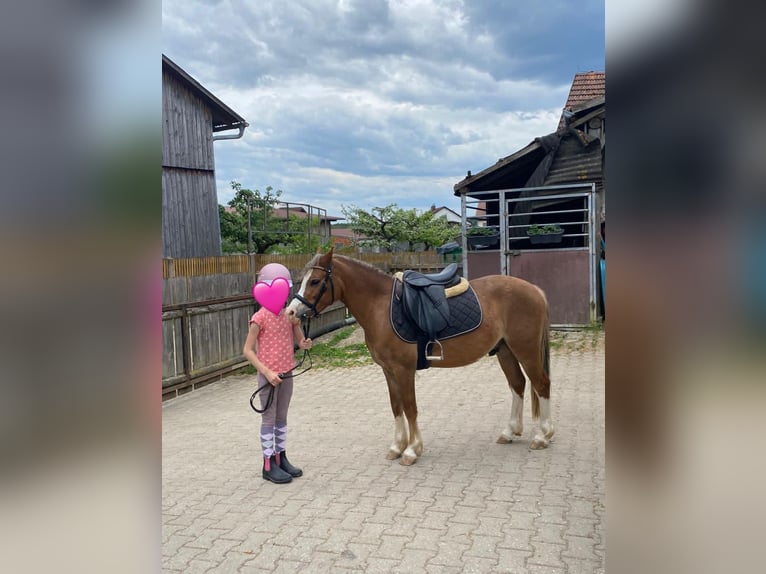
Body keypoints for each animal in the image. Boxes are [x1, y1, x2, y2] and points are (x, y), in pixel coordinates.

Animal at [285, 249, 553, 466]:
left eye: (315, 281)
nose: (291, 312)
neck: (380, 306)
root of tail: (536, 290)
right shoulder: (388, 370)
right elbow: (396, 407)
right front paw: (397, 447)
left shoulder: (404, 370)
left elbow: (410, 407)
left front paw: (412, 451)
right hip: (506, 350)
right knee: (518, 385)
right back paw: (510, 432)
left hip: (526, 350)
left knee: (541, 384)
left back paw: (543, 436)